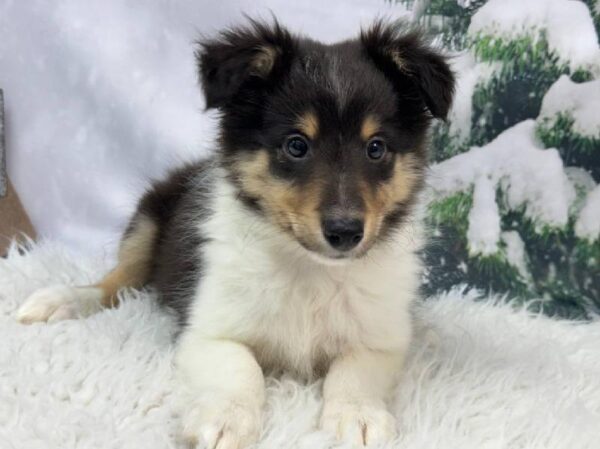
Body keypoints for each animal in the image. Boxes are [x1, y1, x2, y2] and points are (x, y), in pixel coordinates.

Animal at [16, 18, 452, 448]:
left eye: (376, 148)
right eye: (296, 145)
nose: (345, 232)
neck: (308, 267)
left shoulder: (382, 339)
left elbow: (353, 372)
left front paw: (358, 416)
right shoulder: (209, 330)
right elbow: (242, 369)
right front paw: (225, 420)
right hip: (148, 217)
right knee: (117, 279)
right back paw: (59, 301)